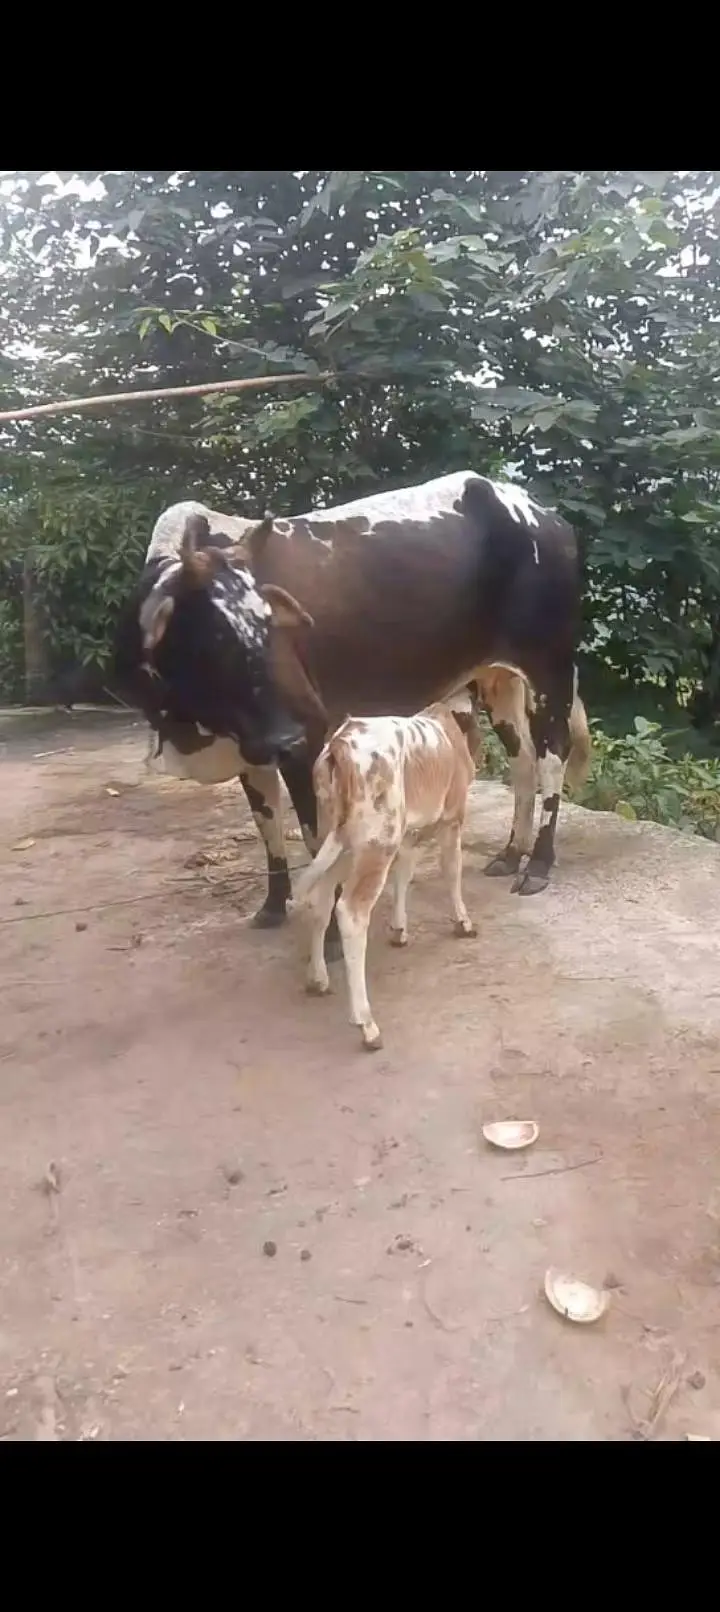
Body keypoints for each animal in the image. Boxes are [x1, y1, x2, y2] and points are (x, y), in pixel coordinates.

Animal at [115, 472, 590, 956]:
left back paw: (538, 864)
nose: (285, 735)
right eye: (213, 638)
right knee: (523, 759)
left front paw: (326, 937)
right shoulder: (251, 749)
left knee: (553, 756)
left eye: (271, 626)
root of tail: (539, 511)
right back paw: (511, 853)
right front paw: (273, 906)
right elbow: (267, 825)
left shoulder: (309, 740)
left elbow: (314, 838)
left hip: (549, 667)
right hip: (497, 678)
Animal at [291, 688, 484, 1051]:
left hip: (340, 838)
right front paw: (463, 922)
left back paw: (318, 978)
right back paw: (366, 1024)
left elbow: (404, 876)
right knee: (351, 912)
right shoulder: (452, 818)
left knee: (321, 897)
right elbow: (452, 869)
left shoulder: (407, 836)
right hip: (376, 843)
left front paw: (399, 929)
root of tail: (340, 743)